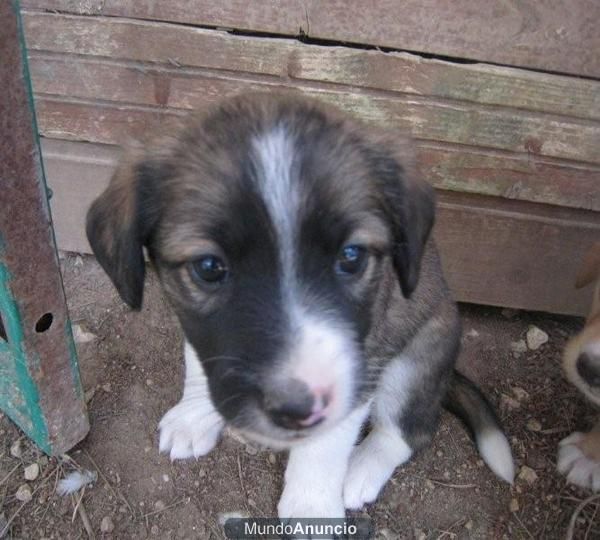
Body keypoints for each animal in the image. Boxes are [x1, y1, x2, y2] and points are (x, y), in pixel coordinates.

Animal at [86, 94, 512, 520]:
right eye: (208, 267)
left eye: (352, 257)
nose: (294, 407)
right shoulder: (197, 328)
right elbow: (196, 359)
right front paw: (194, 414)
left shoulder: (363, 362)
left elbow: (324, 445)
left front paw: (312, 507)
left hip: (417, 358)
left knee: (407, 432)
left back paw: (361, 468)